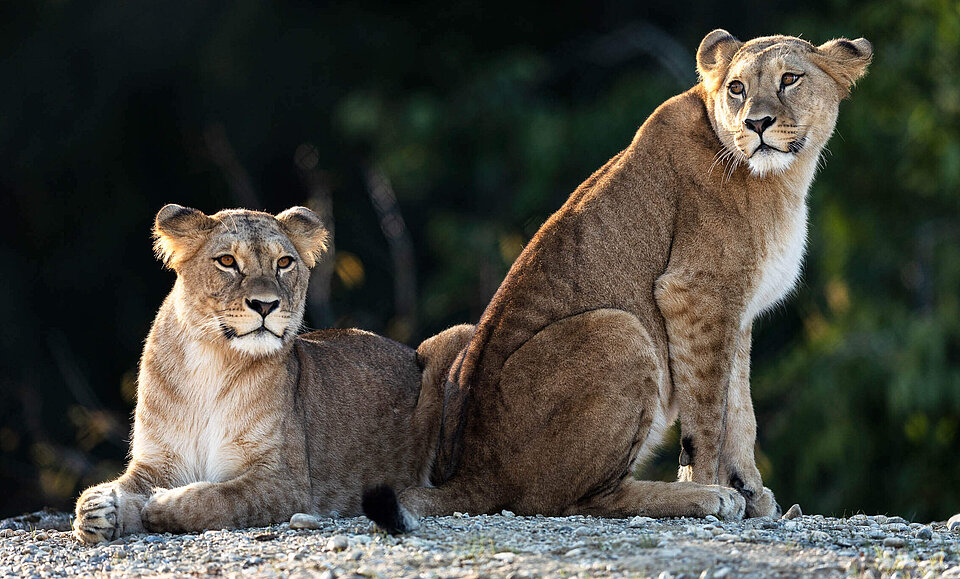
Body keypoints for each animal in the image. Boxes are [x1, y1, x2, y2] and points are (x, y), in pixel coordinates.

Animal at [72, 204, 474, 544]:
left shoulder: (287, 481)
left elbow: (219, 498)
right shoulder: (157, 461)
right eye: (227, 261)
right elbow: (117, 490)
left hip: (459, 337)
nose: (265, 305)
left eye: (284, 262)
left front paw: (161, 504)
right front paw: (97, 509)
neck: (211, 361)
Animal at [363, 30, 872, 532]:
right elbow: (709, 414)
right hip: (620, 328)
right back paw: (697, 497)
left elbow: (741, 412)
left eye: (790, 79)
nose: (757, 124)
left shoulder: (737, 311)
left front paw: (752, 492)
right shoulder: (695, 293)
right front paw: (716, 488)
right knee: (574, 501)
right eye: (737, 88)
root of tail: (470, 475)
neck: (783, 178)